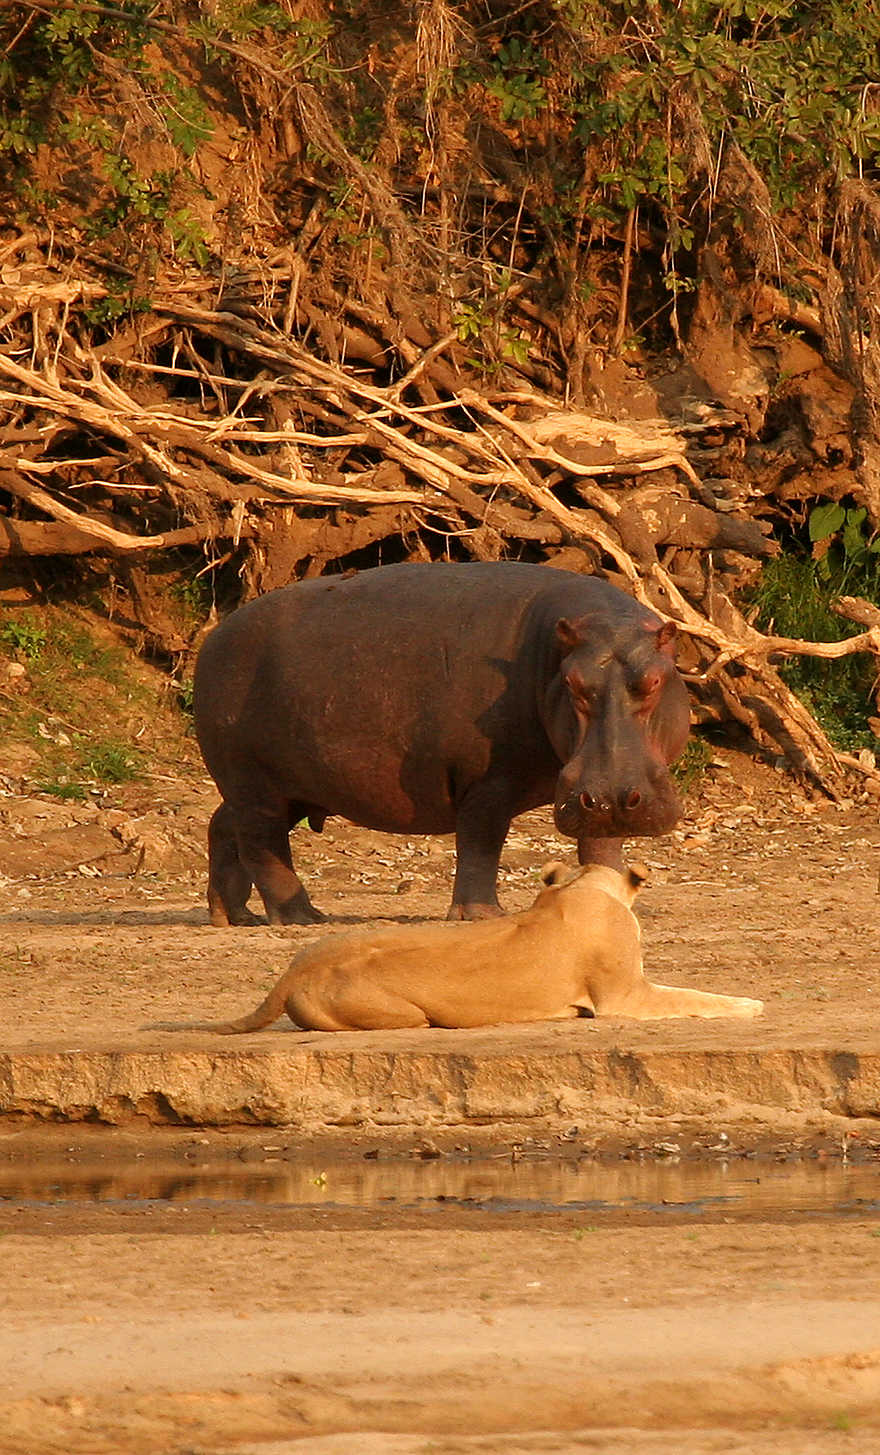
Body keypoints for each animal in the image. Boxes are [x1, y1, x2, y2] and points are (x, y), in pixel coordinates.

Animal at [192, 561, 690, 925]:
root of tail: (214, 636)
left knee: (222, 825)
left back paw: (232, 917)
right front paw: (481, 915)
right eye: (572, 683)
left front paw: (606, 898)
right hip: (257, 788)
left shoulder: (588, 791)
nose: (612, 796)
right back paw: (303, 917)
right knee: (262, 844)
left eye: (655, 679)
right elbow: (480, 841)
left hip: (284, 787)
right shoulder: (489, 781)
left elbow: (601, 845)